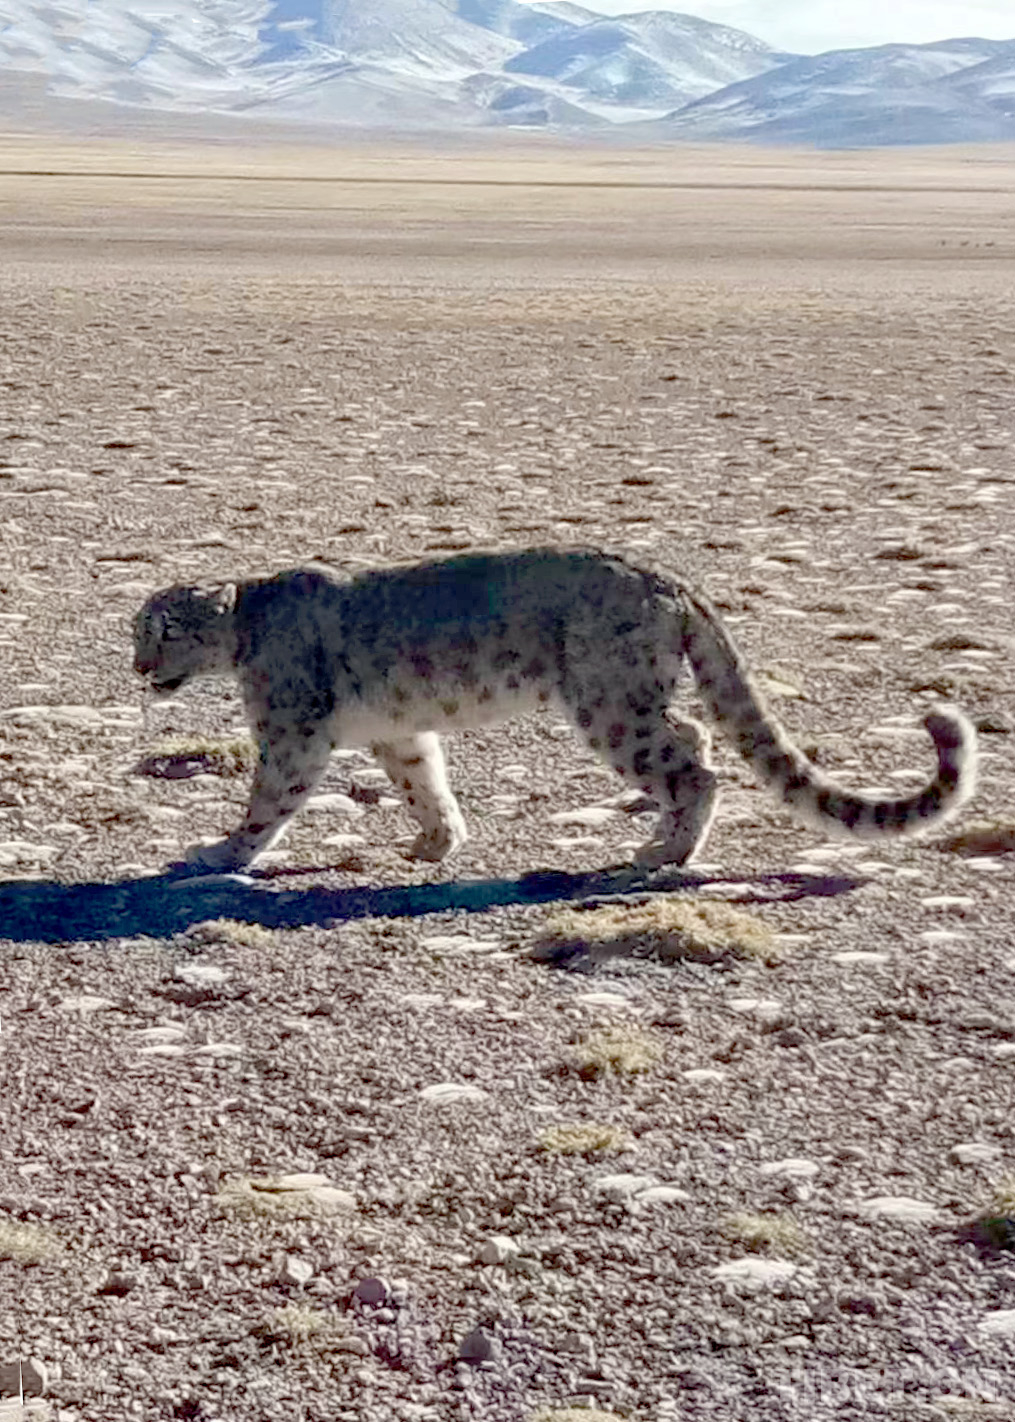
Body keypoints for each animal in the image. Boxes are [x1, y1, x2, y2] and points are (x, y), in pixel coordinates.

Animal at [133, 547, 977, 875]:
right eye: (135, 630)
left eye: (164, 629)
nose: (138, 668)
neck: (244, 636)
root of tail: (669, 578)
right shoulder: (399, 732)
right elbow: (423, 780)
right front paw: (436, 841)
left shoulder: (291, 731)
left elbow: (268, 798)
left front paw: (219, 852)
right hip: (625, 700)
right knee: (694, 739)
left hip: (607, 704)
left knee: (694, 763)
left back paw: (661, 853)